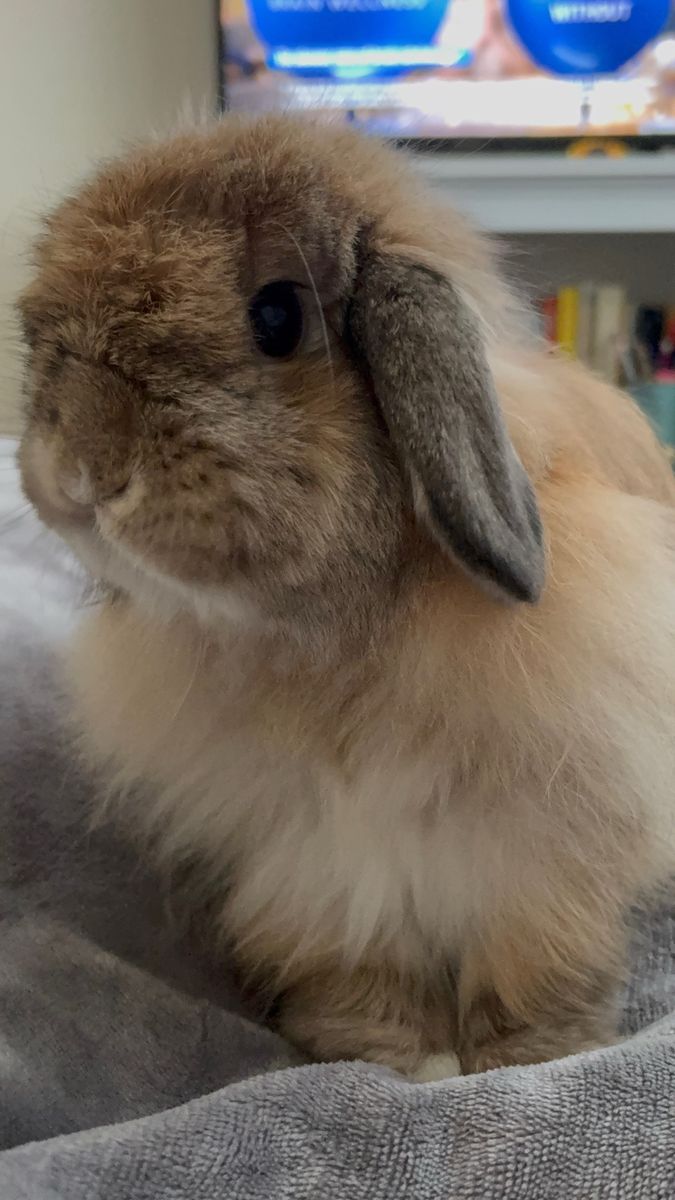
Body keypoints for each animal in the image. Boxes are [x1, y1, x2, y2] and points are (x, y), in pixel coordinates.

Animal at [17, 115, 675, 1079]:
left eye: (277, 316)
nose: (82, 470)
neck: (333, 646)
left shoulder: (540, 863)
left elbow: (534, 969)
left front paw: (526, 1058)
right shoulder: (310, 871)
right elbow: (358, 973)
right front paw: (388, 1057)